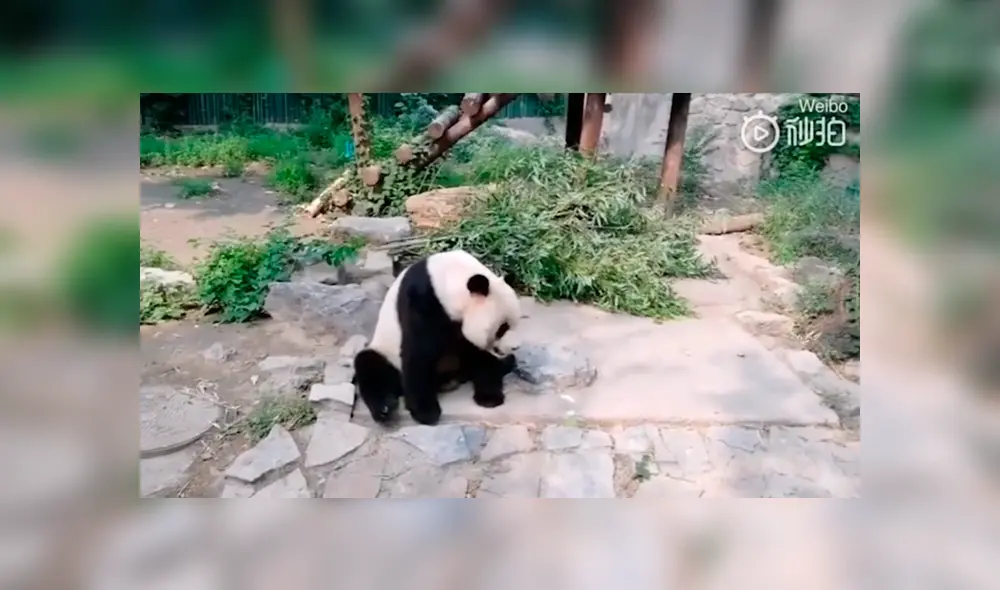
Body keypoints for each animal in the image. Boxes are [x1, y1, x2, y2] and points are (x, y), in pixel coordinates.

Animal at [352, 249, 522, 426]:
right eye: (502, 328)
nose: (515, 347)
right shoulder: (421, 302)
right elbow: (418, 354)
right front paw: (426, 413)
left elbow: (480, 355)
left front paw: (490, 396)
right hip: (386, 352)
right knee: (371, 366)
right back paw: (384, 409)